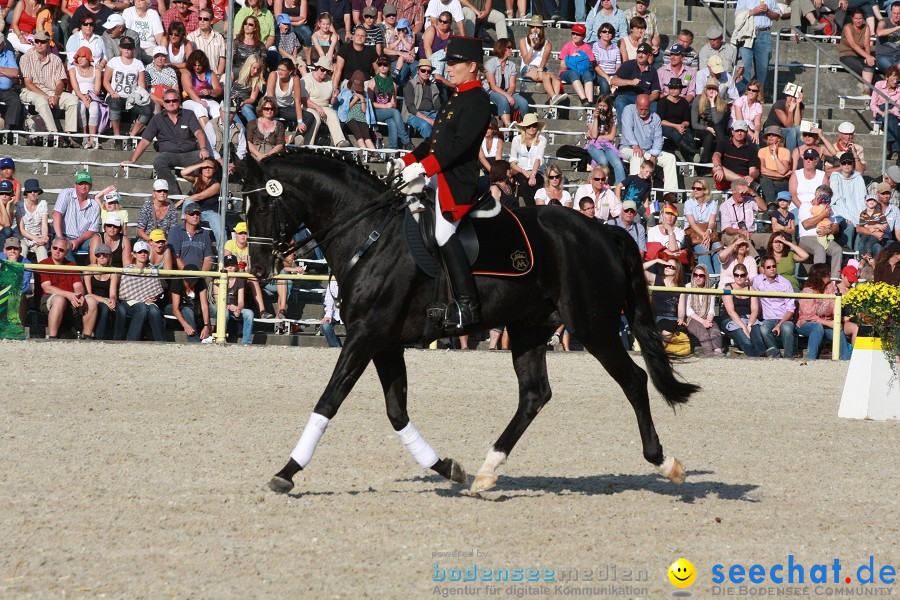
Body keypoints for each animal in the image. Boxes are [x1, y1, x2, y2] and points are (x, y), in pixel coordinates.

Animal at [241, 150, 704, 496]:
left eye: (263, 204)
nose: (259, 268)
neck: (371, 234)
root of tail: (603, 232)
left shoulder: (365, 335)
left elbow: (329, 402)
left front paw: (286, 472)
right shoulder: (383, 341)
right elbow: (396, 412)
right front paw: (447, 467)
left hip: (593, 328)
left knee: (634, 381)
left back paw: (665, 462)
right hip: (530, 328)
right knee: (534, 395)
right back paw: (486, 471)